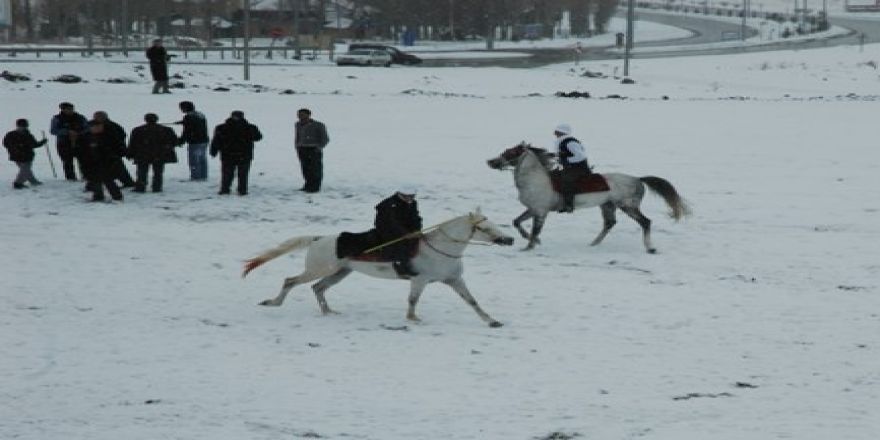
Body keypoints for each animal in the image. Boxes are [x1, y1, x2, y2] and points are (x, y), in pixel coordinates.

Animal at [241, 210, 516, 326]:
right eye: (484, 228)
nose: (509, 240)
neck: (440, 249)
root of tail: (318, 239)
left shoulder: (454, 280)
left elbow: (472, 302)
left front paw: (492, 321)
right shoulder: (419, 280)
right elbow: (413, 300)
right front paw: (413, 319)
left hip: (339, 273)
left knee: (318, 289)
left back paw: (329, 312)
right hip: (319, 269)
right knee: (291, 281)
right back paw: (273, 303)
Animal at [484, 144, 692, 253]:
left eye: (511, 152)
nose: (491, 162)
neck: (535, 179)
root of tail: (638, 179)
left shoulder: (541, 212)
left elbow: (535, 230)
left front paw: (529, 246)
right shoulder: (533, 209)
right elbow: (517, 222)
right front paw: (533, 242)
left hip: (628, 206)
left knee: (645, 222)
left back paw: (649, 248)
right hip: (607, 205)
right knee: (609, 223)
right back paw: (593, 244)